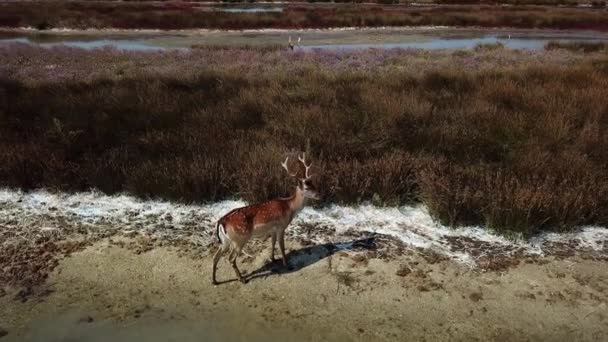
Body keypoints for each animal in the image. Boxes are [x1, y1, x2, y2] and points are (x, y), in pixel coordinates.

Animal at [213, 154, 320, 284]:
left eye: (313, 183)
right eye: (306, 187)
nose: (319, 195)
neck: (289, 208)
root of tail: (221, 222)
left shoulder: (272, 229)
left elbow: (272, 243)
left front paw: (273, 258)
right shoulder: (281, 226)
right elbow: (282, 246)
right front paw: (286, 264)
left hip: (225, 241)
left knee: (215, 257)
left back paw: (214, 280)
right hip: (239, 239)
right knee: (230, 259)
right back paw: (242, 279)